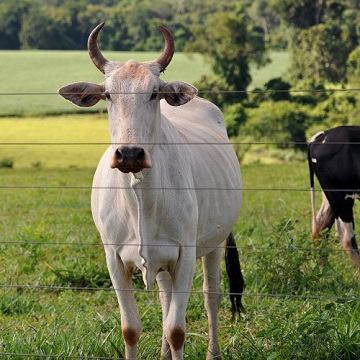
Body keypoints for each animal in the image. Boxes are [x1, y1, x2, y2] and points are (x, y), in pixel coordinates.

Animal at [59, 23, 245, 360]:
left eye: (154, 93)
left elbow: (177, 329)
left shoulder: (185, 254)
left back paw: (213, 352)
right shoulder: (114, 258)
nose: (130, 154)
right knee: (165, 296)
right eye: (108, 94)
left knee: (211, 297)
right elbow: (131, 328)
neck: (140, 196)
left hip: (214, 242)